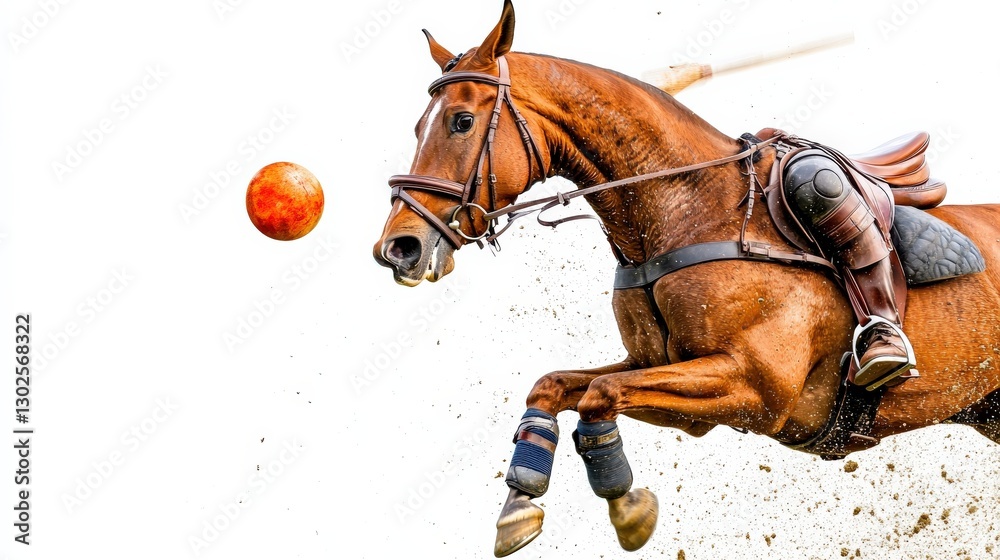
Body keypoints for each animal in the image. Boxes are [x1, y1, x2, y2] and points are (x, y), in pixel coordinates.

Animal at [372, 1, 1000, 556]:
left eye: (461, 121)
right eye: (418, 124)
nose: (399, 247)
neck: (686, 207)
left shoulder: (755, 387)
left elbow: (600, 394)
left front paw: (628, 508)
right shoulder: (663, 376)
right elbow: (554, 385)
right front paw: (519, 507)